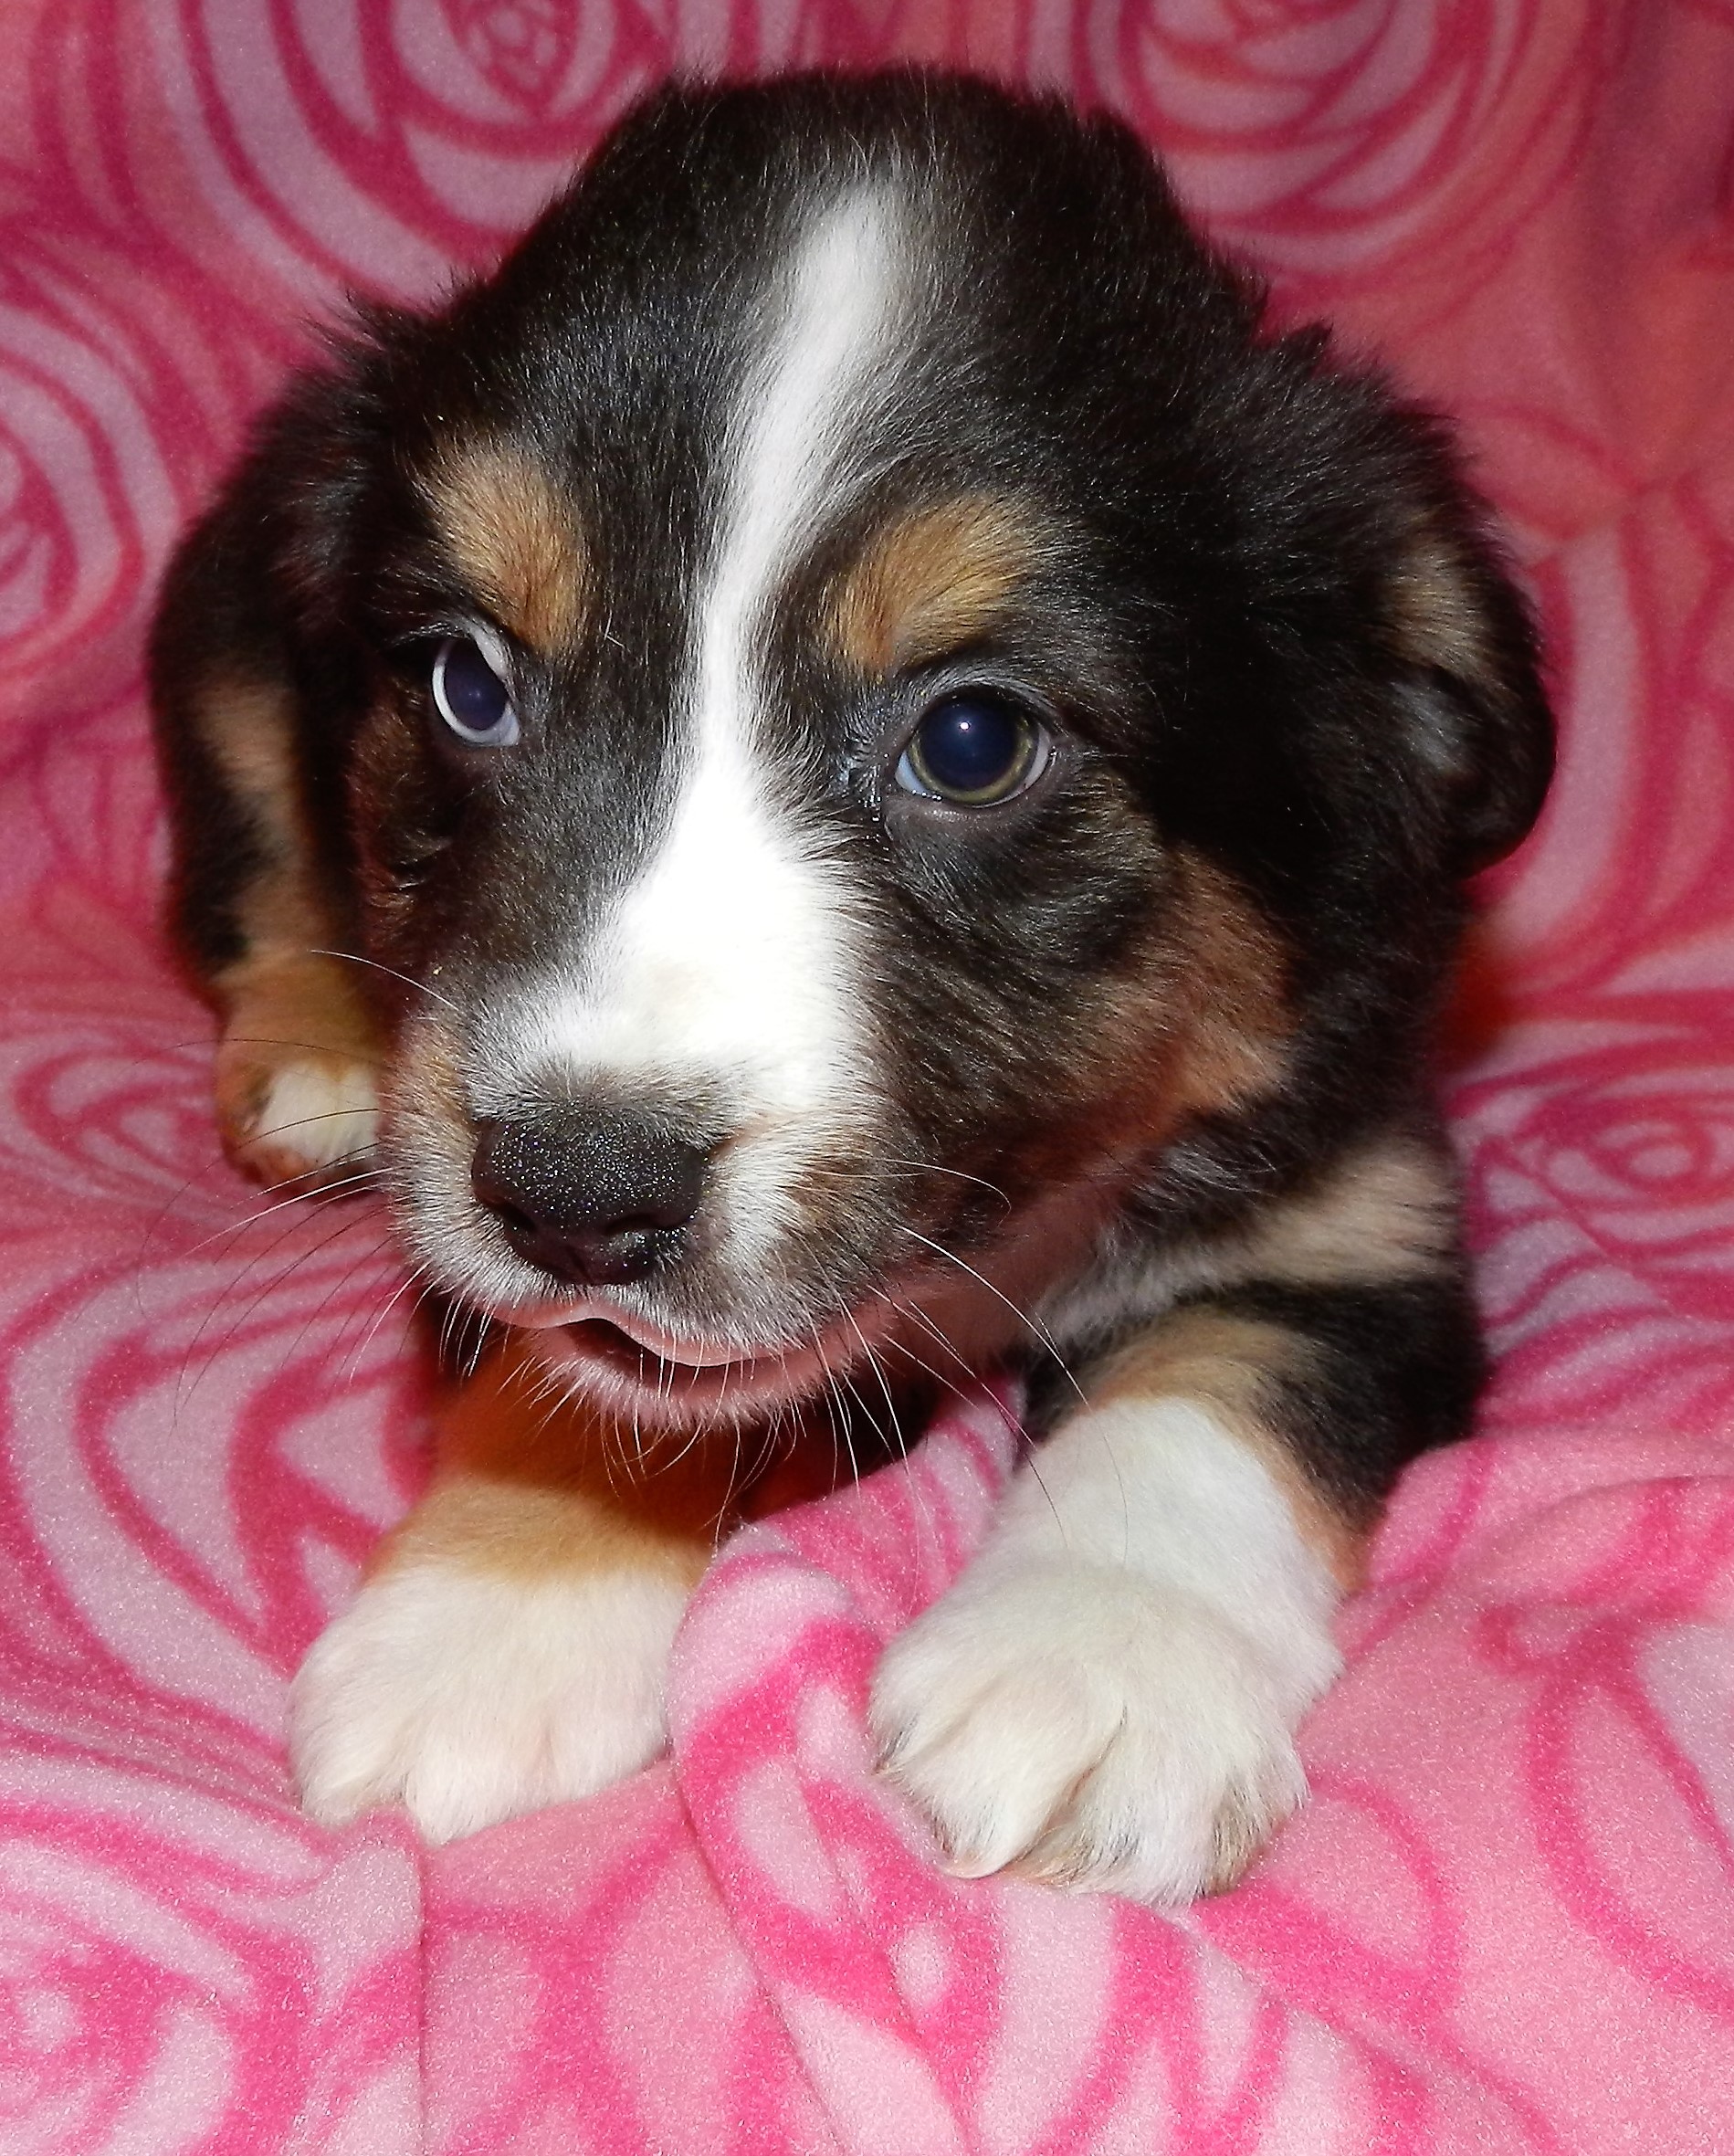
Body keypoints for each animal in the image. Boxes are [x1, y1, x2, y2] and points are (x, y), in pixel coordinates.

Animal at [149, 70, 1552, 1904]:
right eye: (466, 682)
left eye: (969, 739)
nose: (571, 1192)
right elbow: (593, 1378)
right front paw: (490, 1622)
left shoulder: (1354, 1212)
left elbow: (1203, 1393)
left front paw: (1096, 1665)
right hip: (229, 642)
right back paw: (315, 1060)